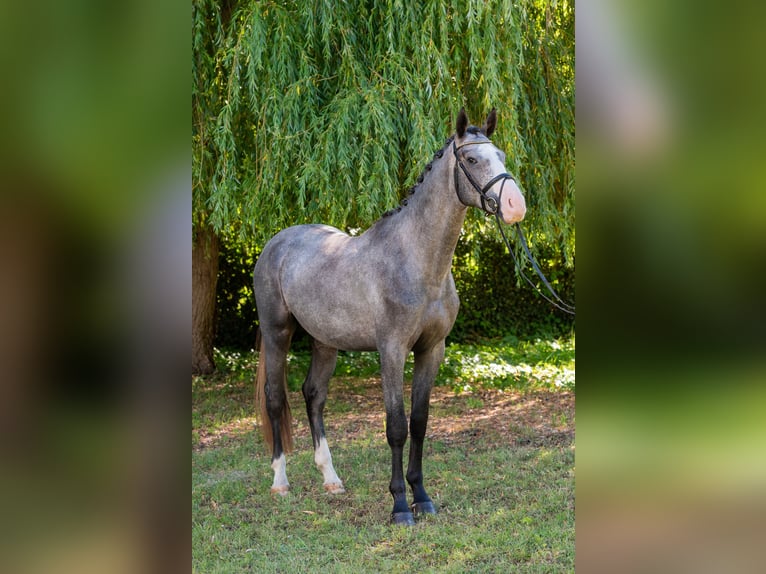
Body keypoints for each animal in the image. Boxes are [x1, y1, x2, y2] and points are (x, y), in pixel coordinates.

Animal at [253, 108, 526, 525]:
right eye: (471, 159)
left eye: (502, 155)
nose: (515, 205)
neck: (415, 260)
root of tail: (277, 243)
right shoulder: (392, 351)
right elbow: (396, 426)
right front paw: (400, 505)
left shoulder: (432, 350)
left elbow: (420, 422)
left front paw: (422, 498)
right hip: (276, 333)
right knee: (274, 399)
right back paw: (280, 482)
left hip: (325, 342)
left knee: (313, 396)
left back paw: (331, 479)